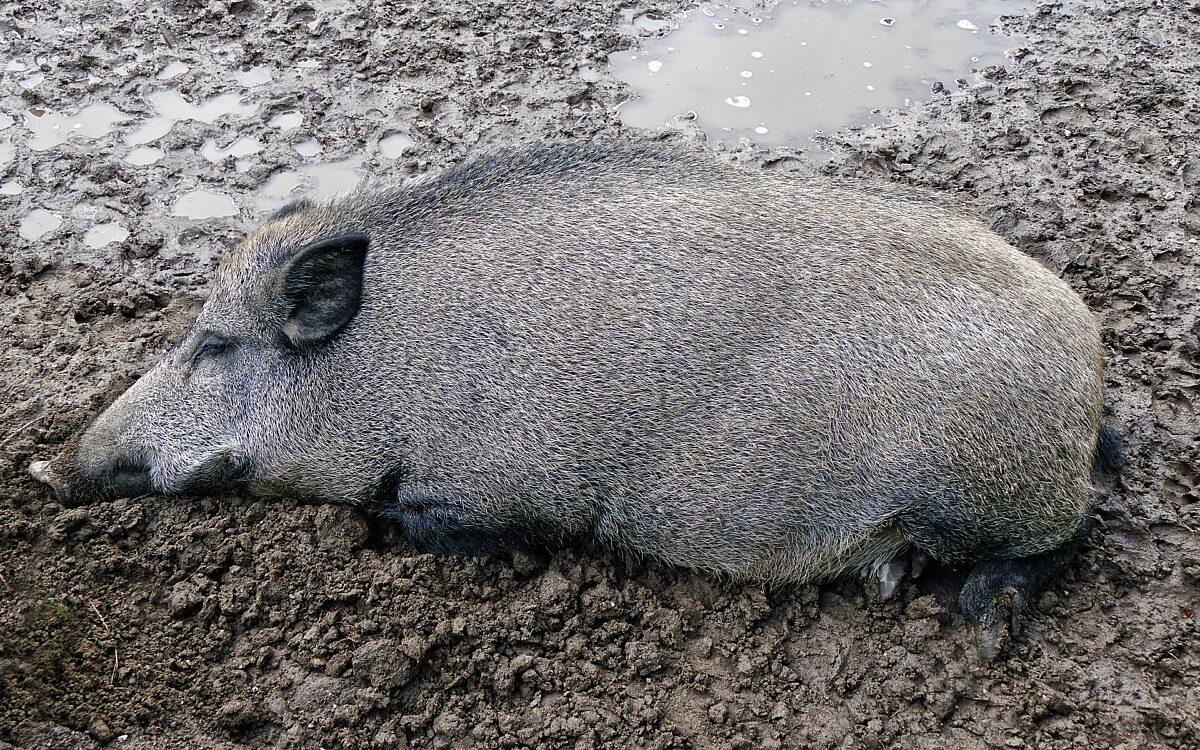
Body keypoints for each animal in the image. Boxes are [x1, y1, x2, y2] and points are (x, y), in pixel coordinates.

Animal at [29, 143, 1119, 657]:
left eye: (213, 346)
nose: (46, 465)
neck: (379, 370)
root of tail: (1091, 359)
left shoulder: (506, 494)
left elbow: (430, 522)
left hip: (981, 488)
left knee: (1067, 540)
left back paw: (980, 622)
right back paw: (893, 582)